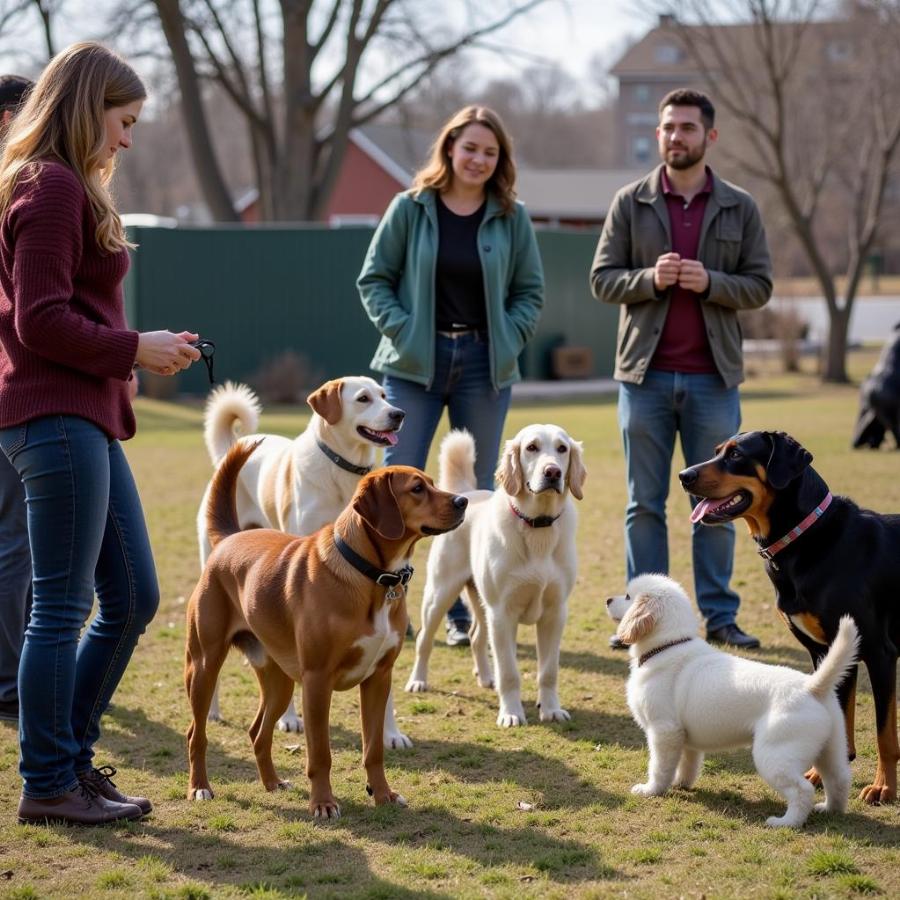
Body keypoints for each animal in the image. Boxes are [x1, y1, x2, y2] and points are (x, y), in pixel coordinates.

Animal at [185, 440, 468, 820]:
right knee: (196, 734)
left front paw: (382, 794)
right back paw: (200, 787)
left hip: (280, 683)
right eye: (417, 489)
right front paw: (322, 803)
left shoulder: (378, 679)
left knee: (258, 732)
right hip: (204, 667)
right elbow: (320, 753)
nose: (463, 501)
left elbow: (374, 749)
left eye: (434, 483)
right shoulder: (318, 682)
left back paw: (272, 783)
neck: (372, 576)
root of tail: (230, 538)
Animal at [608, 572, 856, 828]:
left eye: (628, 596)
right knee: (839, 778)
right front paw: (681, 783)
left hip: (774, 755)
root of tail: (811, 686)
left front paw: (651, 790)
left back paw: (785, 822)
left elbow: (659, 767)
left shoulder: (663, 731)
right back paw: (830, 810)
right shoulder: (683, 737)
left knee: (802, 790)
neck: (667, 645)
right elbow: (688, 763)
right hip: (832, 747)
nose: (607, 600)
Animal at [680, 432, 896, 804]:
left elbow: (885, 734)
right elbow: (836, 715)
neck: (808, 538)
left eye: (736, 454)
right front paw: (822, 773)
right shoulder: (827, 653)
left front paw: (884, 786)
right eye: (717, 451)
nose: (683, 475)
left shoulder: (880, 654)